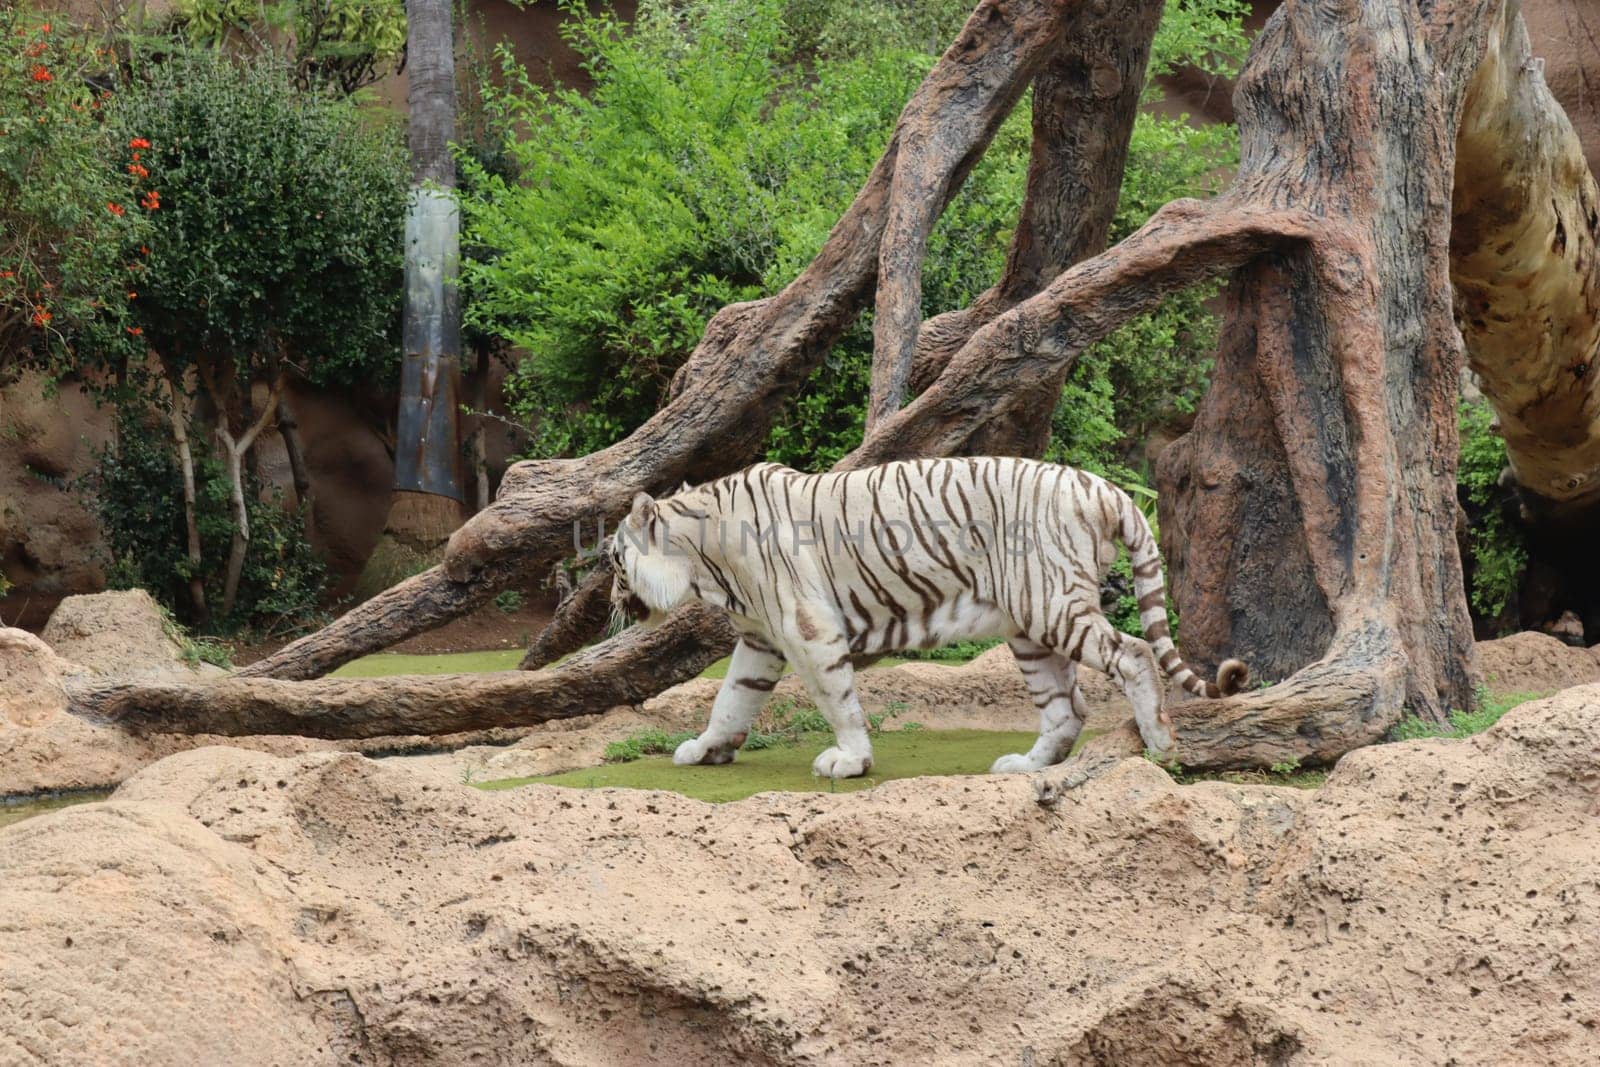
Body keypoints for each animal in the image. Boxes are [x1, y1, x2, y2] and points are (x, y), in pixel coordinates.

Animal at [604, 457, 1241, 777]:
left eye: (613, 560)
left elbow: (836, 699)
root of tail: (1104, 489)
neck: (704, 558)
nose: (611, 600)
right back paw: (1025, 765)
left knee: (1133, 653)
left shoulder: (808, 631)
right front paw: (706, 749)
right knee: (1067, 708)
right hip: (1028, 625)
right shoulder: (761, 639)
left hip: (1050, 602)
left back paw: (1159, 742)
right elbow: (731, 697)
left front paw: (850, 761)